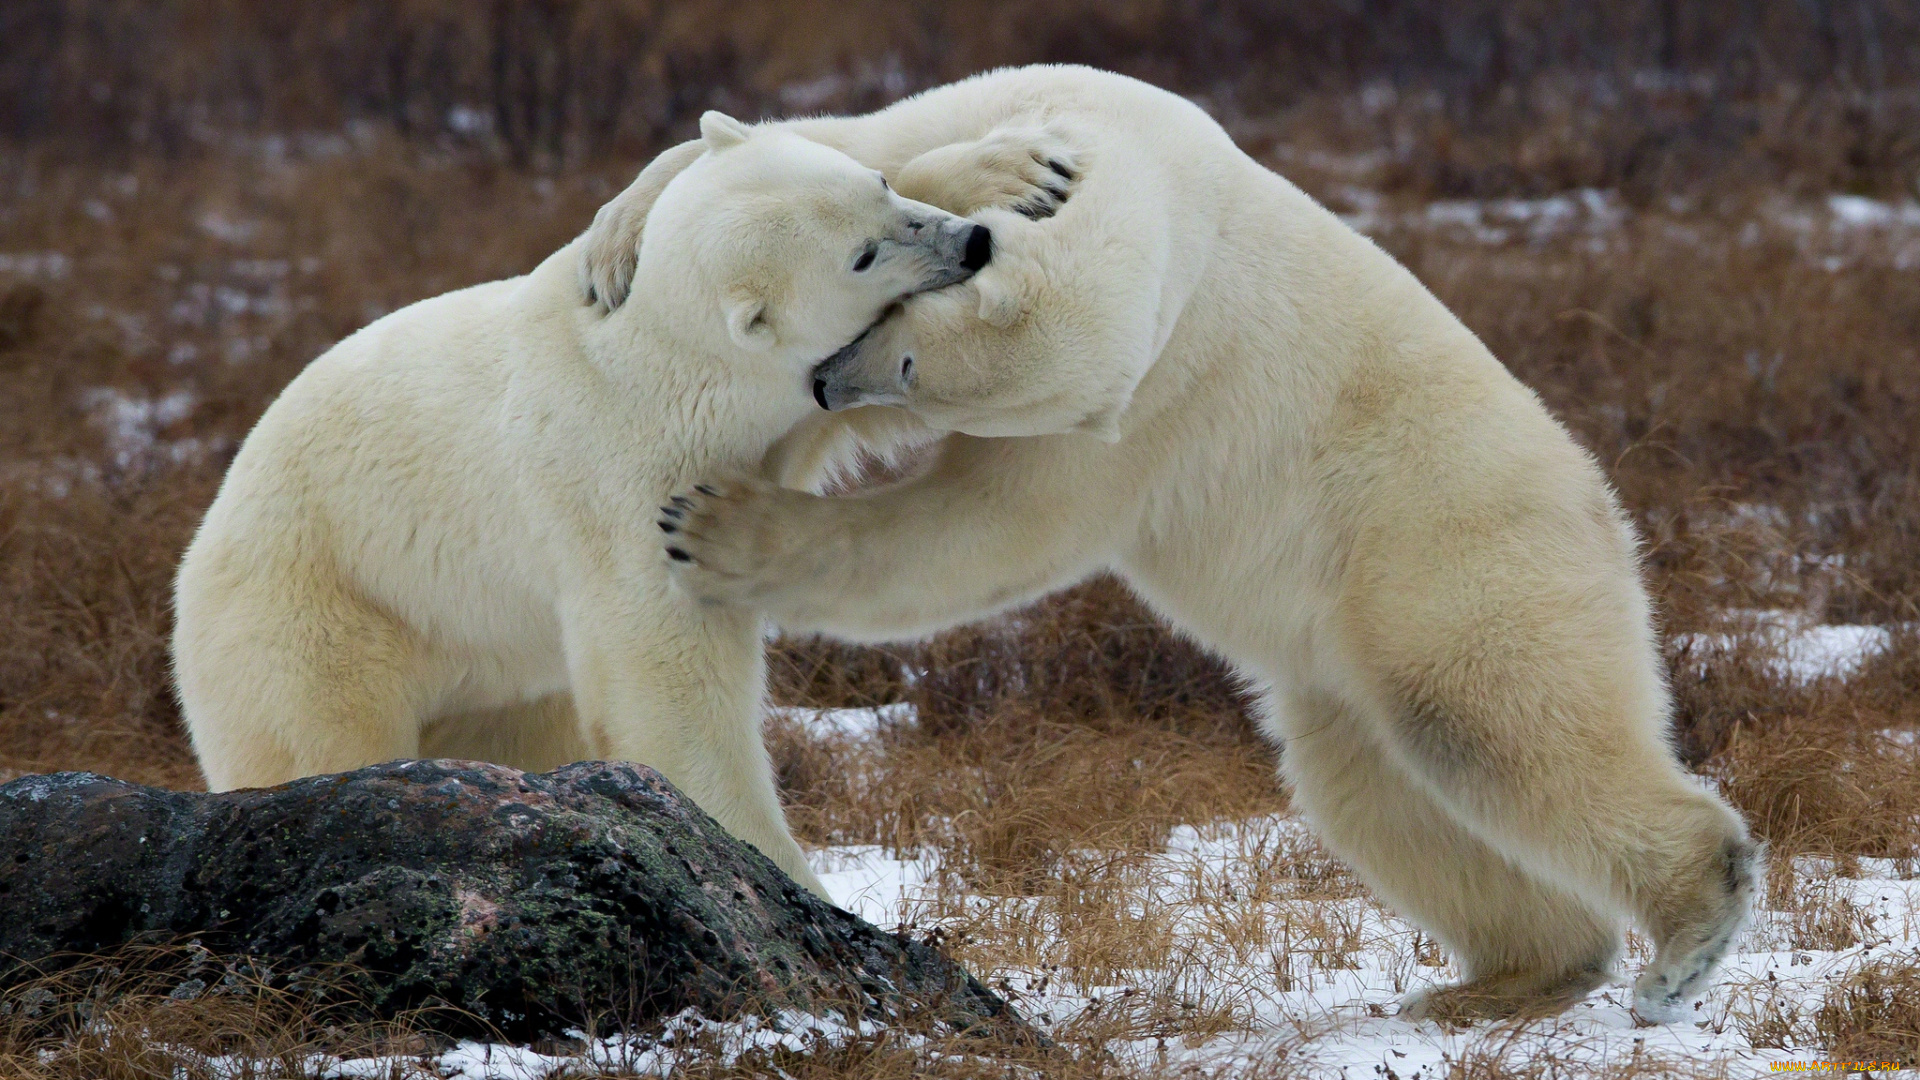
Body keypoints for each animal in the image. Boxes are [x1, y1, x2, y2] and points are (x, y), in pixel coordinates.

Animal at [165, 113, 1067, 895]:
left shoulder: (790, 407)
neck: (667, 358)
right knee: (313, 738)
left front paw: (1019, 172)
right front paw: (784, 874)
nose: (968, 243)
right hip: (316, 618)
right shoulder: (629, 479)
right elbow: (667, 674)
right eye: (863, 257)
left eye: (876, 188)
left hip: (499, 676)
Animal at [579, 62, 1758, 1022]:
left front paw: (716, 527)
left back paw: (1685, 935)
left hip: (1452, 550)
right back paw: (1510, 978)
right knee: (1380, 788)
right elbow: (853, 136)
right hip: (1366, 628)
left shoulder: (1146, 395)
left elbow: (988, 528)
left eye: (909, 363)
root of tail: (1609, 510)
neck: (1166, 174)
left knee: (1495, 725)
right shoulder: (1048, 109)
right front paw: (617, 242)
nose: (830, 386)